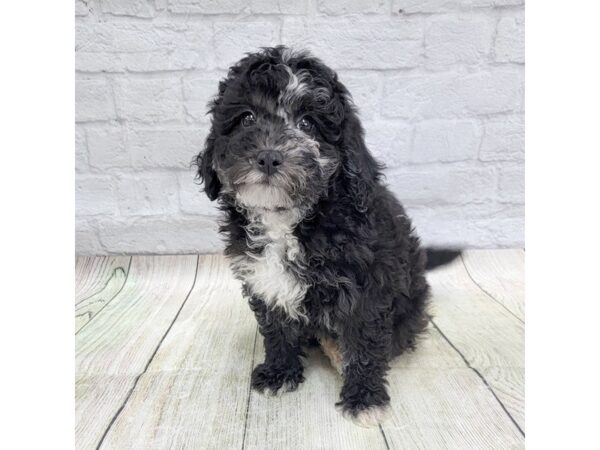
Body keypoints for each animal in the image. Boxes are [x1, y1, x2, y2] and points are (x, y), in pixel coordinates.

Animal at [195, 47, 458, 428]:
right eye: (246, 118)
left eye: (308, 123)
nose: (269, 156)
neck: (288, 218)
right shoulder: (266, 280)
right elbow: (276, 330)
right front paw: (279, 373)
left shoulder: (367, 288)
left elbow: (364, 344)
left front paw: (364, 398)